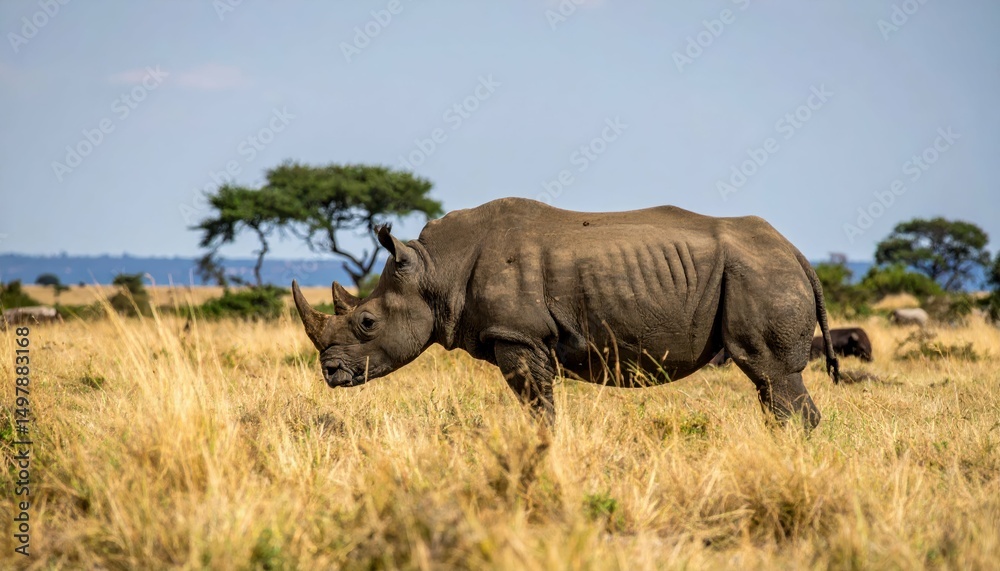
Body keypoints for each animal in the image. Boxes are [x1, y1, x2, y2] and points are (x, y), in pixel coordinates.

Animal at [292, 198, 839, 429]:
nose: (330, 373)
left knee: (770, 372)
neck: (434, 268)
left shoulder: (518, 335)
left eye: (367, 323)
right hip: (758, 270)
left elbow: (537, 403)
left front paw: (542, 446)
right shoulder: (520, 336)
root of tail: (796, 252)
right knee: (769, 384)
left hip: (760, 273)